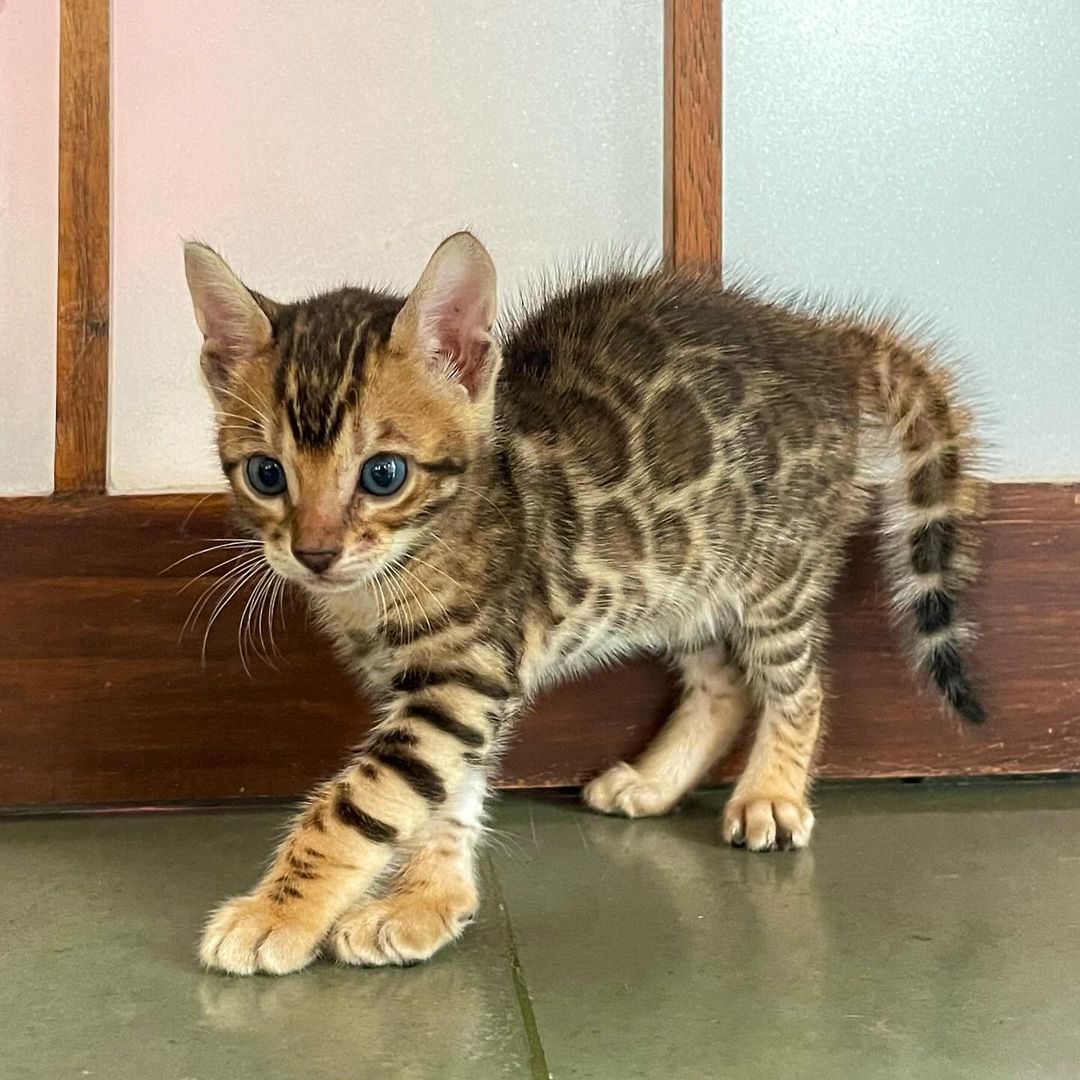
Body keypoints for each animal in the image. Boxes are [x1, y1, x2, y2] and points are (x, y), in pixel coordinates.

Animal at [183, 231, 983, 975]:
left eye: (383, 474)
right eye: (265, 474)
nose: (314, 553)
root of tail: (827, 342)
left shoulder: (462, 677)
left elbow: (362, 801)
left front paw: (277, 914)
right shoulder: (439, 690)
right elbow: (442, 793)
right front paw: (427, 901)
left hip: (773, 574)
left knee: (800, 684)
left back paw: (773, 793)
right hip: (676, 577)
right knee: (723, 684)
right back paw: (655, 783)